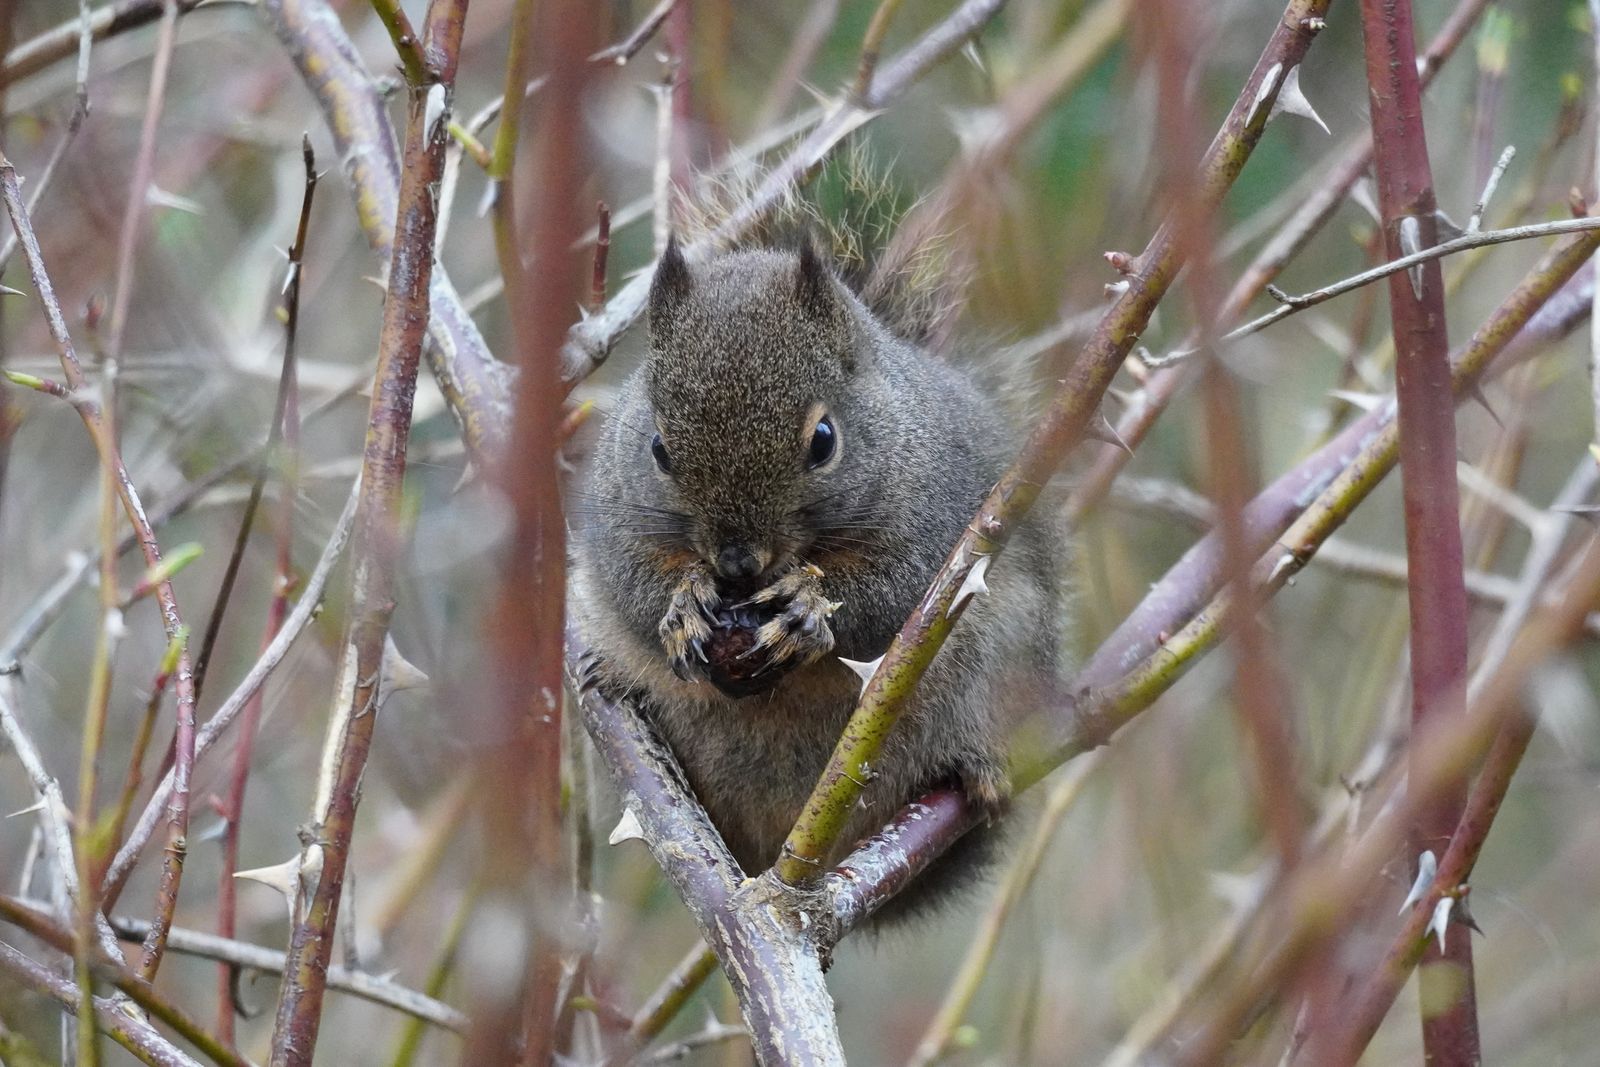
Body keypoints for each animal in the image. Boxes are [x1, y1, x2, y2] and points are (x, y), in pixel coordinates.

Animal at [569, 234, 1065, 921]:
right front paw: (682, 606)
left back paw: (977, 769)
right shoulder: (616, 521)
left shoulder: (937, 519)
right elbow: (633, 584)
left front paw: (807, 609)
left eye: (824, 440)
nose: (737, 561)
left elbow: (893, 596)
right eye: (658, 449)